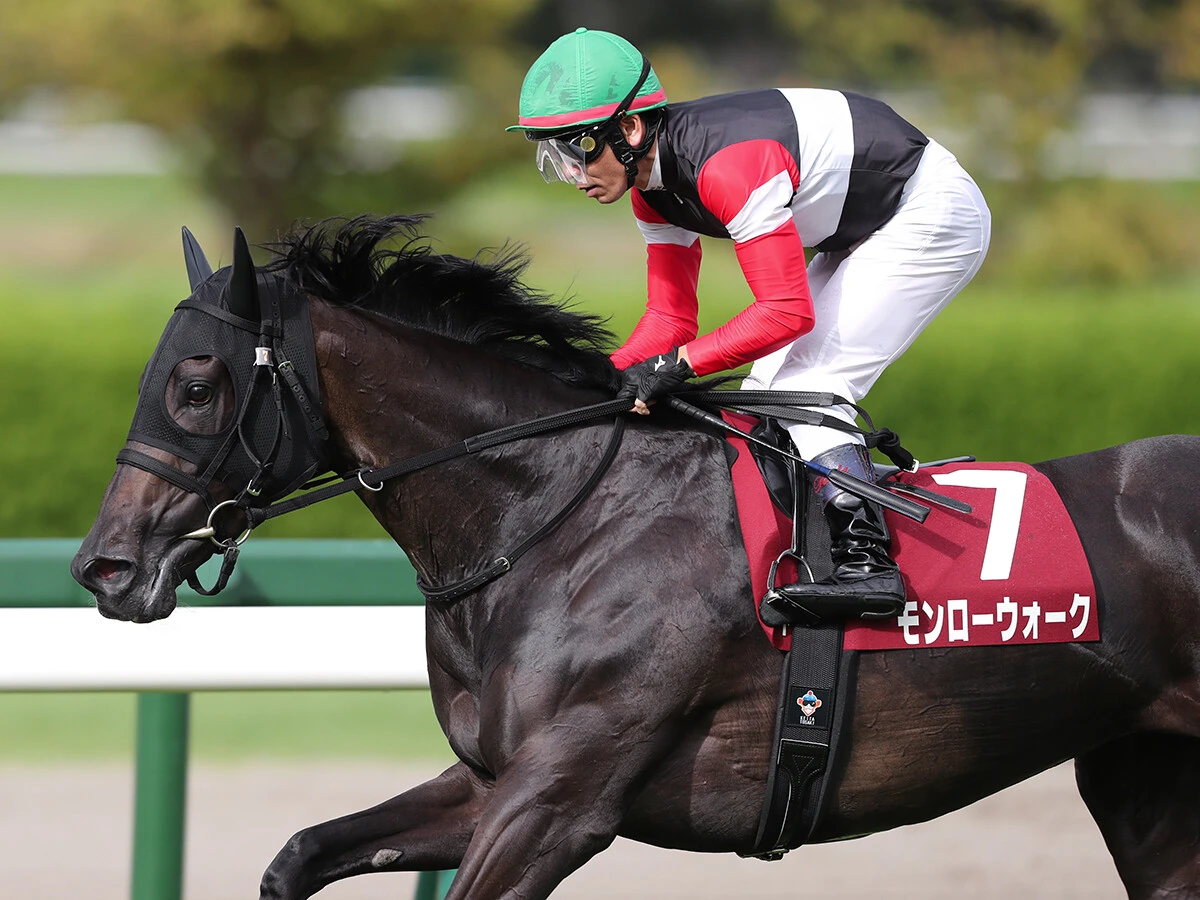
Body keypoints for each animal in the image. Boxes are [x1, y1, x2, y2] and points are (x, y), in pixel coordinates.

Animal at [71, 215, 1200, 900]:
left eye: (197, 385)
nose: (103, 567)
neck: (551, 519)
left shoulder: (562, 798)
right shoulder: (489, 782)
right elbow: (298, 854)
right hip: (1143, 779)